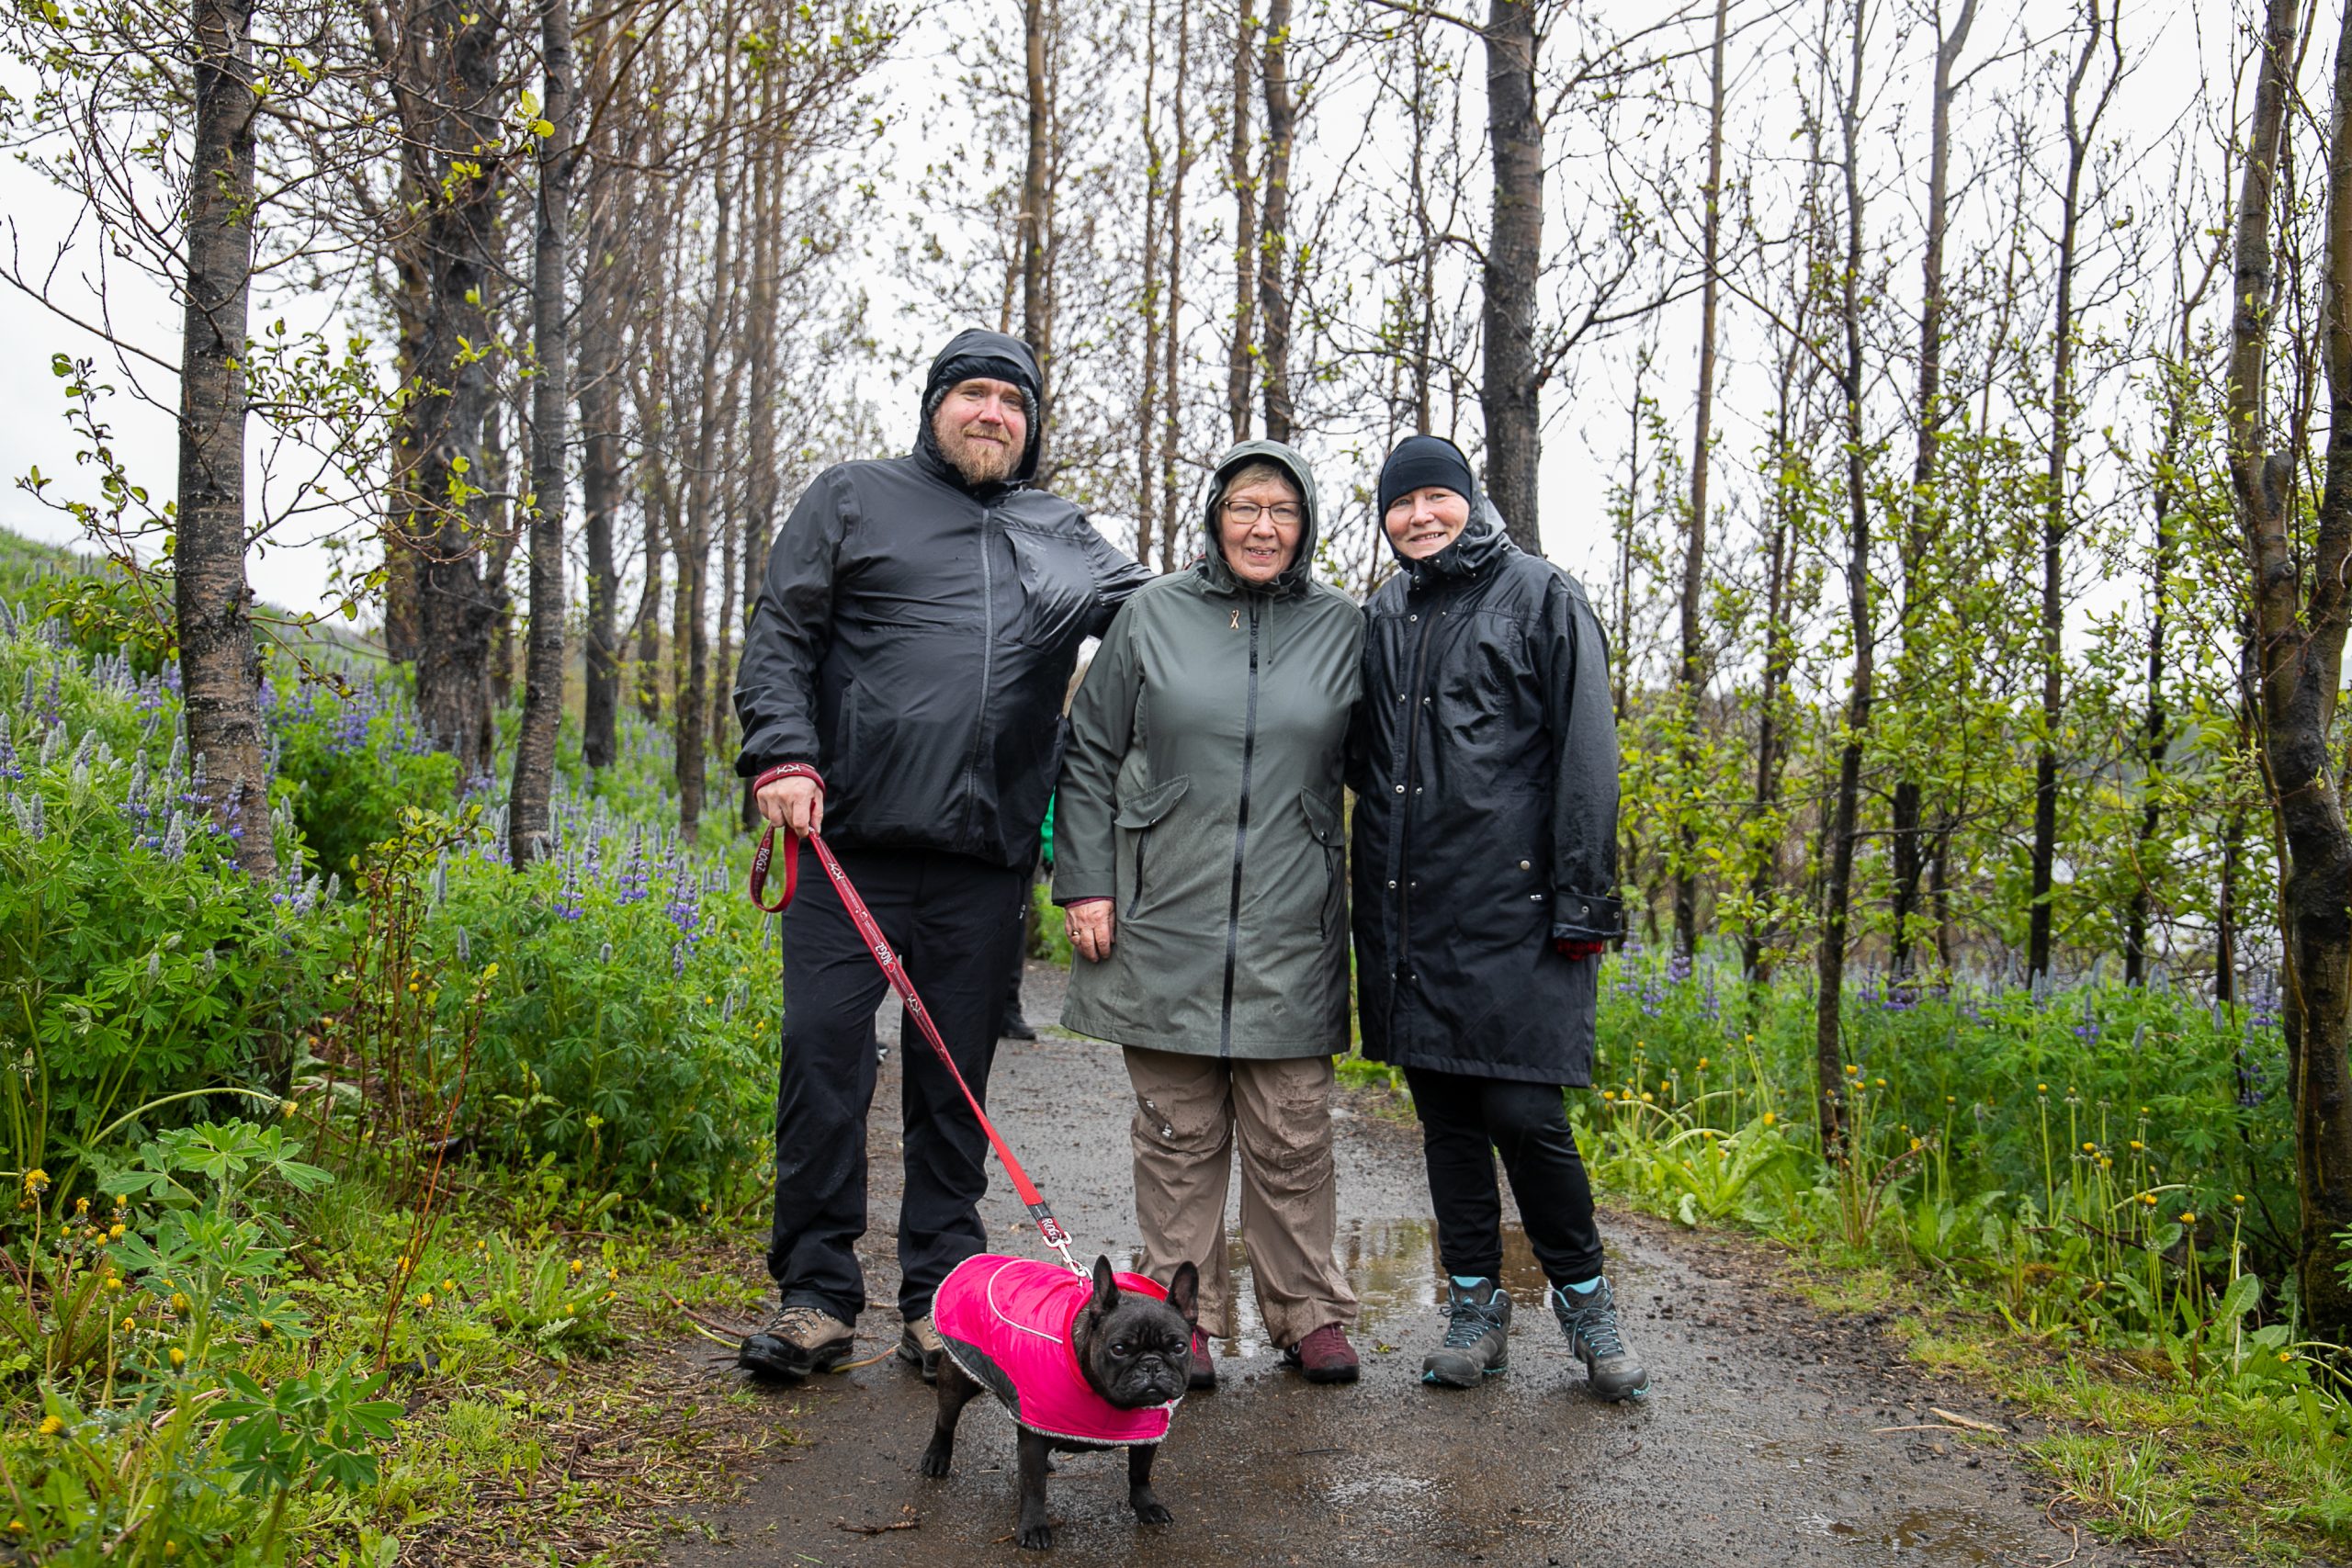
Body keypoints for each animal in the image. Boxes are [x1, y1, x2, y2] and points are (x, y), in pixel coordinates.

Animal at [921, 1252, 1198, 1550]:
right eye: (1119, 1349)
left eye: (1179, 1347)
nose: (1151, 1365)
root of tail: (979, 1258)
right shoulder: (1034, 1432)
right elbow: (1034, 1487)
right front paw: (1034, 1527)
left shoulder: (1147, 1434)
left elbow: (1140, 1472)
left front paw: (1146, 1505)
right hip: (959, 1377)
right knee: (946, 1420)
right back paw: (936, 1457)